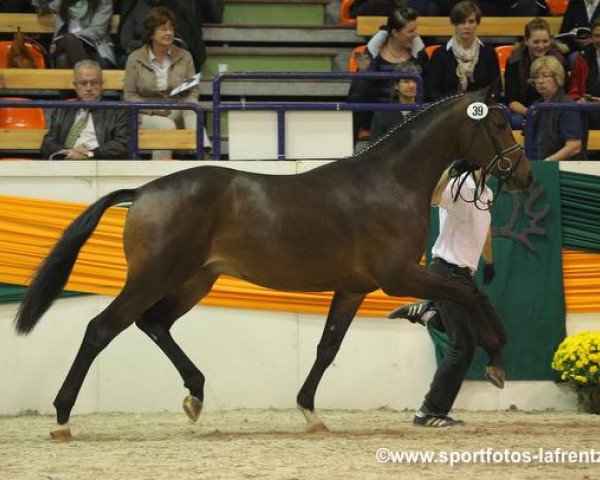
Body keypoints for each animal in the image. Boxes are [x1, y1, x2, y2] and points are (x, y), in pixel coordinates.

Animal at [14, 88, 528, 440]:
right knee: (102, 329)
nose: (522, 173)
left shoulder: (354, 288)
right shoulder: (399, 277)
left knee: (154, 324)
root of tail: (141, 192)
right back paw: (63, 418)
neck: (389, 181)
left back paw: (195, 395)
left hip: (193, 280)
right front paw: (498, 361)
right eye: (501, 124)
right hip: (154, 278)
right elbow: (465, 295)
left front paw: (310, 412)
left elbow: (327, 348)